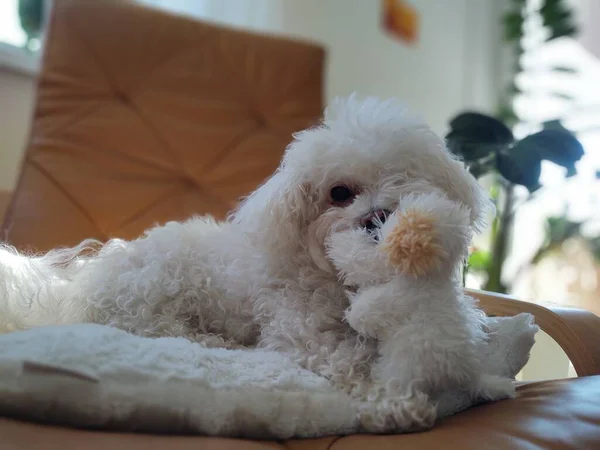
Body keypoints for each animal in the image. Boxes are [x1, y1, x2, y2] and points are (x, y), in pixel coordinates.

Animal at [1, 96, 502, 430]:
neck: (334, 277)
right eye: (339, 192)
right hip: (152, 296)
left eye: (401, 180)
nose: (377, 216)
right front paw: (395, 404)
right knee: (165, 330)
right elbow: (349, 360)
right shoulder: (301, 332)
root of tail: (75, 285)